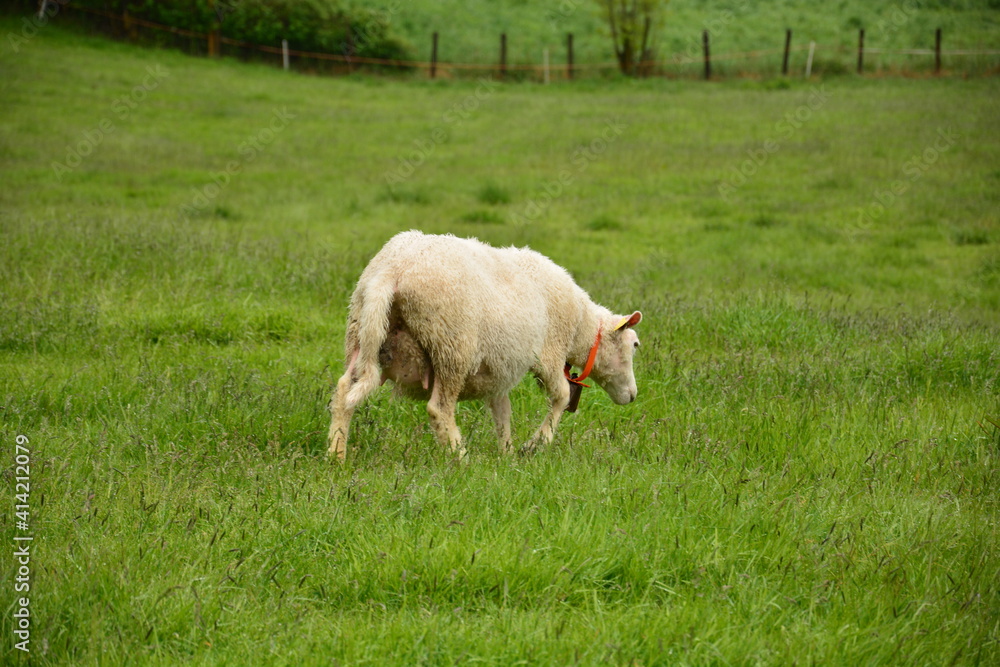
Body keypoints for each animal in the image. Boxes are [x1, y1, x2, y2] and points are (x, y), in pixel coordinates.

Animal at [327, 230, 642, 460]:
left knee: (344, 390)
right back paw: (461, 458)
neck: (581, 326)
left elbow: (502, 412)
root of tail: (391, 271)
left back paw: (336, 455)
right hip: (452, 345)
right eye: (635, 344)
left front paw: (507, 455)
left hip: (362, 334)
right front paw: (536, 444)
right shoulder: (550, 353)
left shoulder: (499, 373)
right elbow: (563, 397)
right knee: (439, 409)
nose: (633, 396)